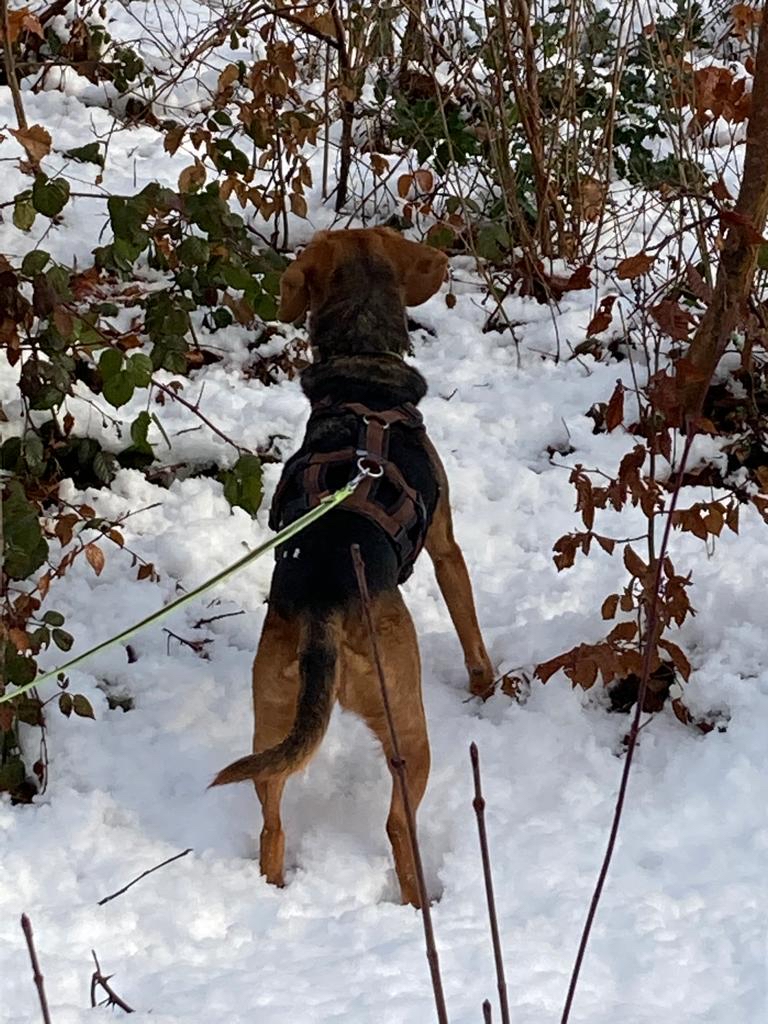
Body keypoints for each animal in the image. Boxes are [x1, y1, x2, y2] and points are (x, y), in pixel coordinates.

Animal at [212, 227, 494, 906]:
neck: (362, 381)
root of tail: (324, 609)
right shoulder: (447, 548)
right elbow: (471, 630)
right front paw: (488, 688)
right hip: (405, 720)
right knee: (396, 823)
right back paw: (421, 901)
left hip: (273, 717)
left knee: (272, 821)